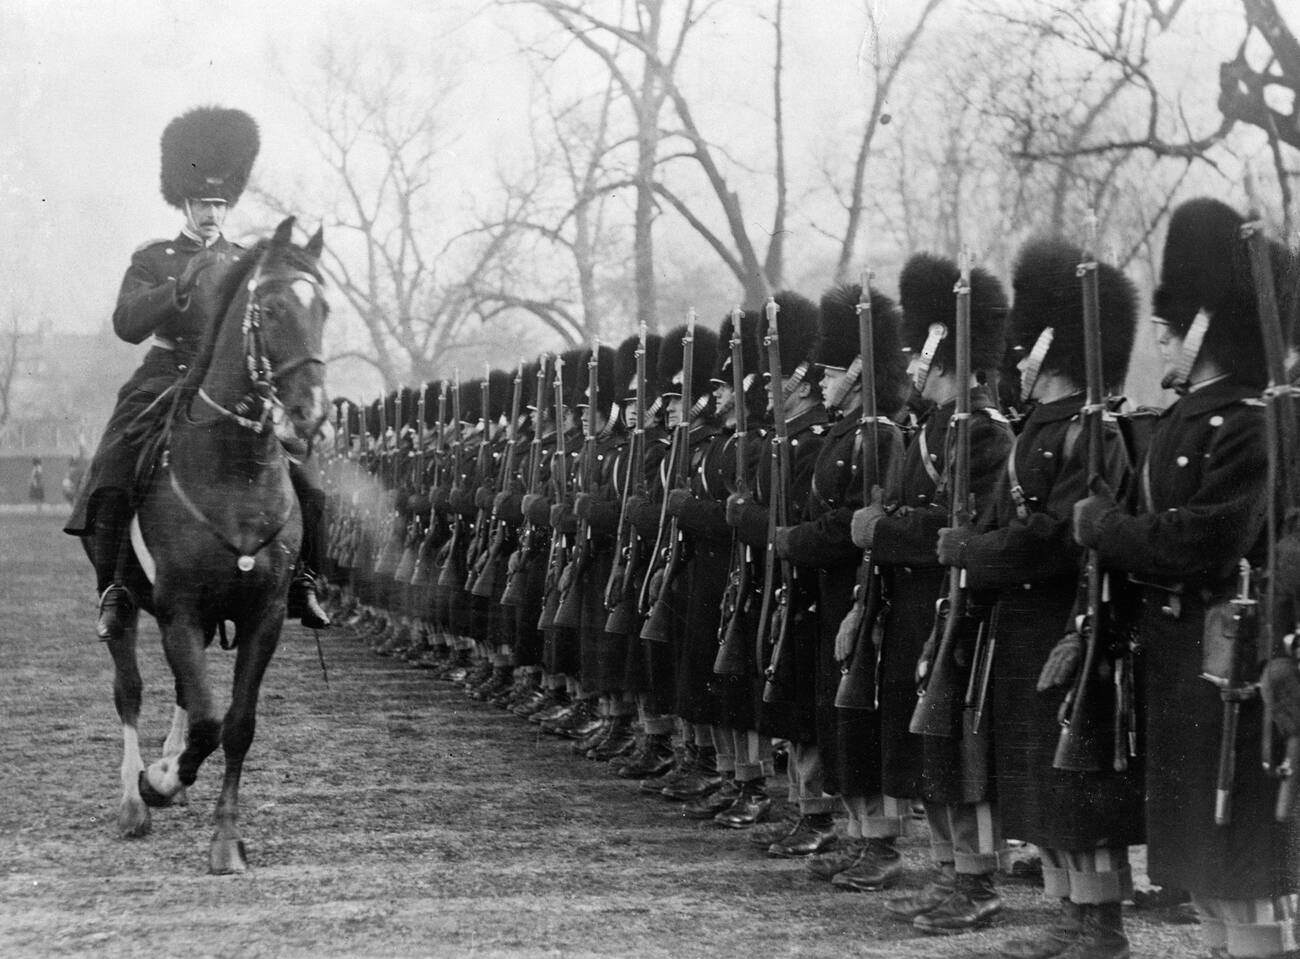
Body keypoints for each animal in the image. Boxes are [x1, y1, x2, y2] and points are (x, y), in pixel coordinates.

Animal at [104, 218, 332, 873]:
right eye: (272, 309)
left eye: (324, 308)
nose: (309, 416)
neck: (236, 470)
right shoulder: (178, 608)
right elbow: (206, 719)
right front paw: (158, 782)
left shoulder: (264, 615)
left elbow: (236, 725)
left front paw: (224, 837)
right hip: (127, 604)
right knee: (129, 689)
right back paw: (135, 800)